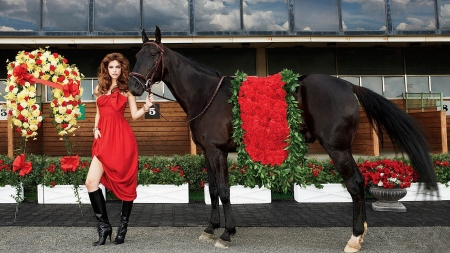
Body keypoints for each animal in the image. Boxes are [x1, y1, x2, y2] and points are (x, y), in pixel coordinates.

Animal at [128, 26, 438, 252]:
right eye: (137, 55)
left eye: (154, 54)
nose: (133, 85)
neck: (207, 95)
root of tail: (348, 85)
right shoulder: (207, 151)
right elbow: (214, 190)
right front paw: (210, 229)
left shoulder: (217, 151)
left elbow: (225, 191)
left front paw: (227, 233)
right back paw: (360, 234)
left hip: (338, 149)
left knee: (356, 184)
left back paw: (354, 238)